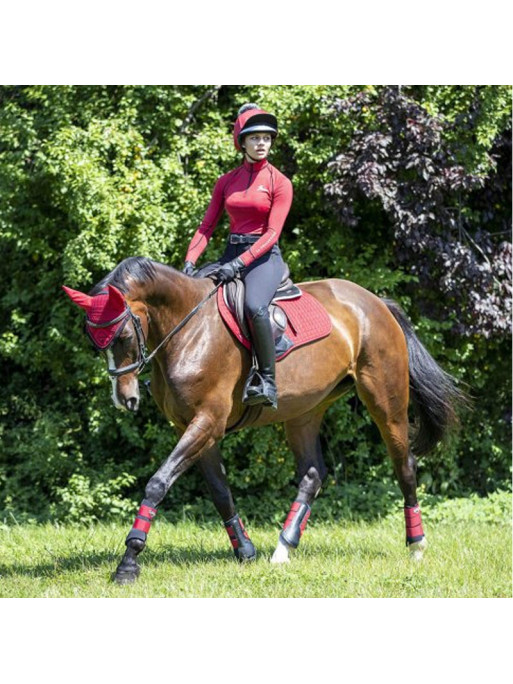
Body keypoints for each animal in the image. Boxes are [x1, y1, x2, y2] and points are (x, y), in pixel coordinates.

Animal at [62, 256, 462, 584]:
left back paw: (416, 545)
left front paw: (129, 561)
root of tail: (377, 302)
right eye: (95, 342)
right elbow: (220, 491)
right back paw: (283, 549)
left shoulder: (207, 421)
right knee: (313, 474)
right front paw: (245, 551)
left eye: (124, 335)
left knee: (404, 464)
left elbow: (158, 483)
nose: (124, 399)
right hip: (305, 411)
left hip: (384, 398)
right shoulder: (194, 426)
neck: (189, 329)